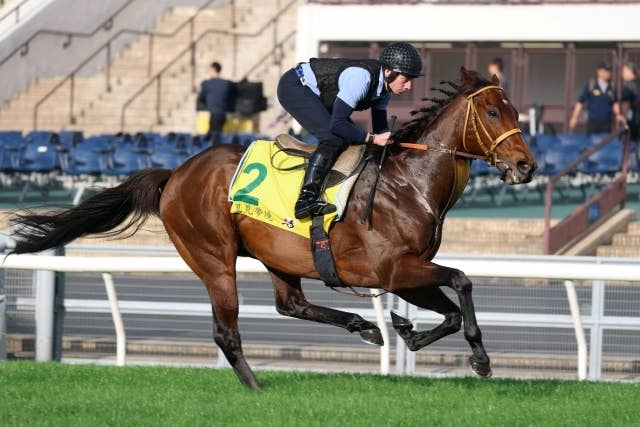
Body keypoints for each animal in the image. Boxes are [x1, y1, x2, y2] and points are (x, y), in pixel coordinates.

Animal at [9, 68, 536, 389]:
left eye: (516, 110)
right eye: (493, 111)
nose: (526, 166)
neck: (410, 184)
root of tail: (175, 173)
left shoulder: (405, 271)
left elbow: (449, 309)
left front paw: (406, 330)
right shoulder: (392, 268)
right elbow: (462, 282)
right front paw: (480, 358)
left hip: (278, 256)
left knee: (292, 305)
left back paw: (363, 326)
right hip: (214, 258)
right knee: (227, 332)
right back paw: (256, 387)